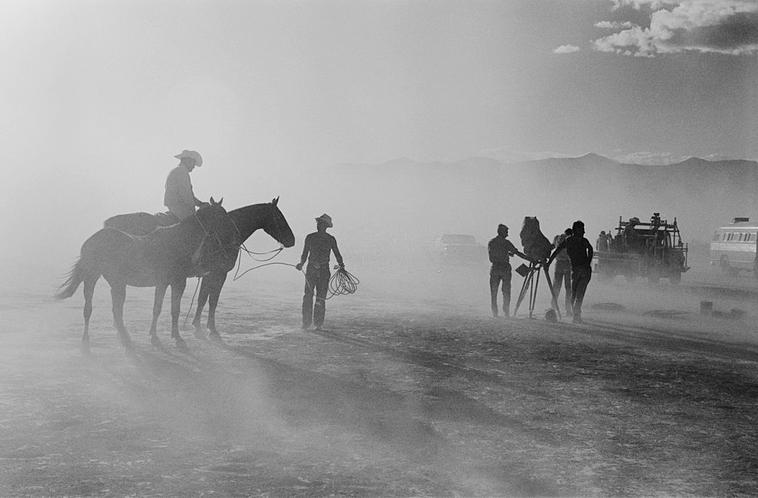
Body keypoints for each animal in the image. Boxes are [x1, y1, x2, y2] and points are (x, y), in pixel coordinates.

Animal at [56, 196, 239, 352]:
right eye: (222, 216)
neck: (178, 242)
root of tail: (90, 241)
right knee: (97, 309)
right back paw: (101, 339)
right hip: (94, 278)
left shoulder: (163, 283)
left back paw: (116, 337)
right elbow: (174, 310)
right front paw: (177, 337)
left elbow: (157, 308)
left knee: (108, 309)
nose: (235, 235)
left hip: (111, 281)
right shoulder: (178, 282)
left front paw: (155, 335)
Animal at [104, 196, 296, 340]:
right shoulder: (218, 273)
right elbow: (210, 300)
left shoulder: (208, 274)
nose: (292, 240)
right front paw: (208, 327)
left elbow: (203, 298)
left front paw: (196, 324)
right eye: (280, 217)